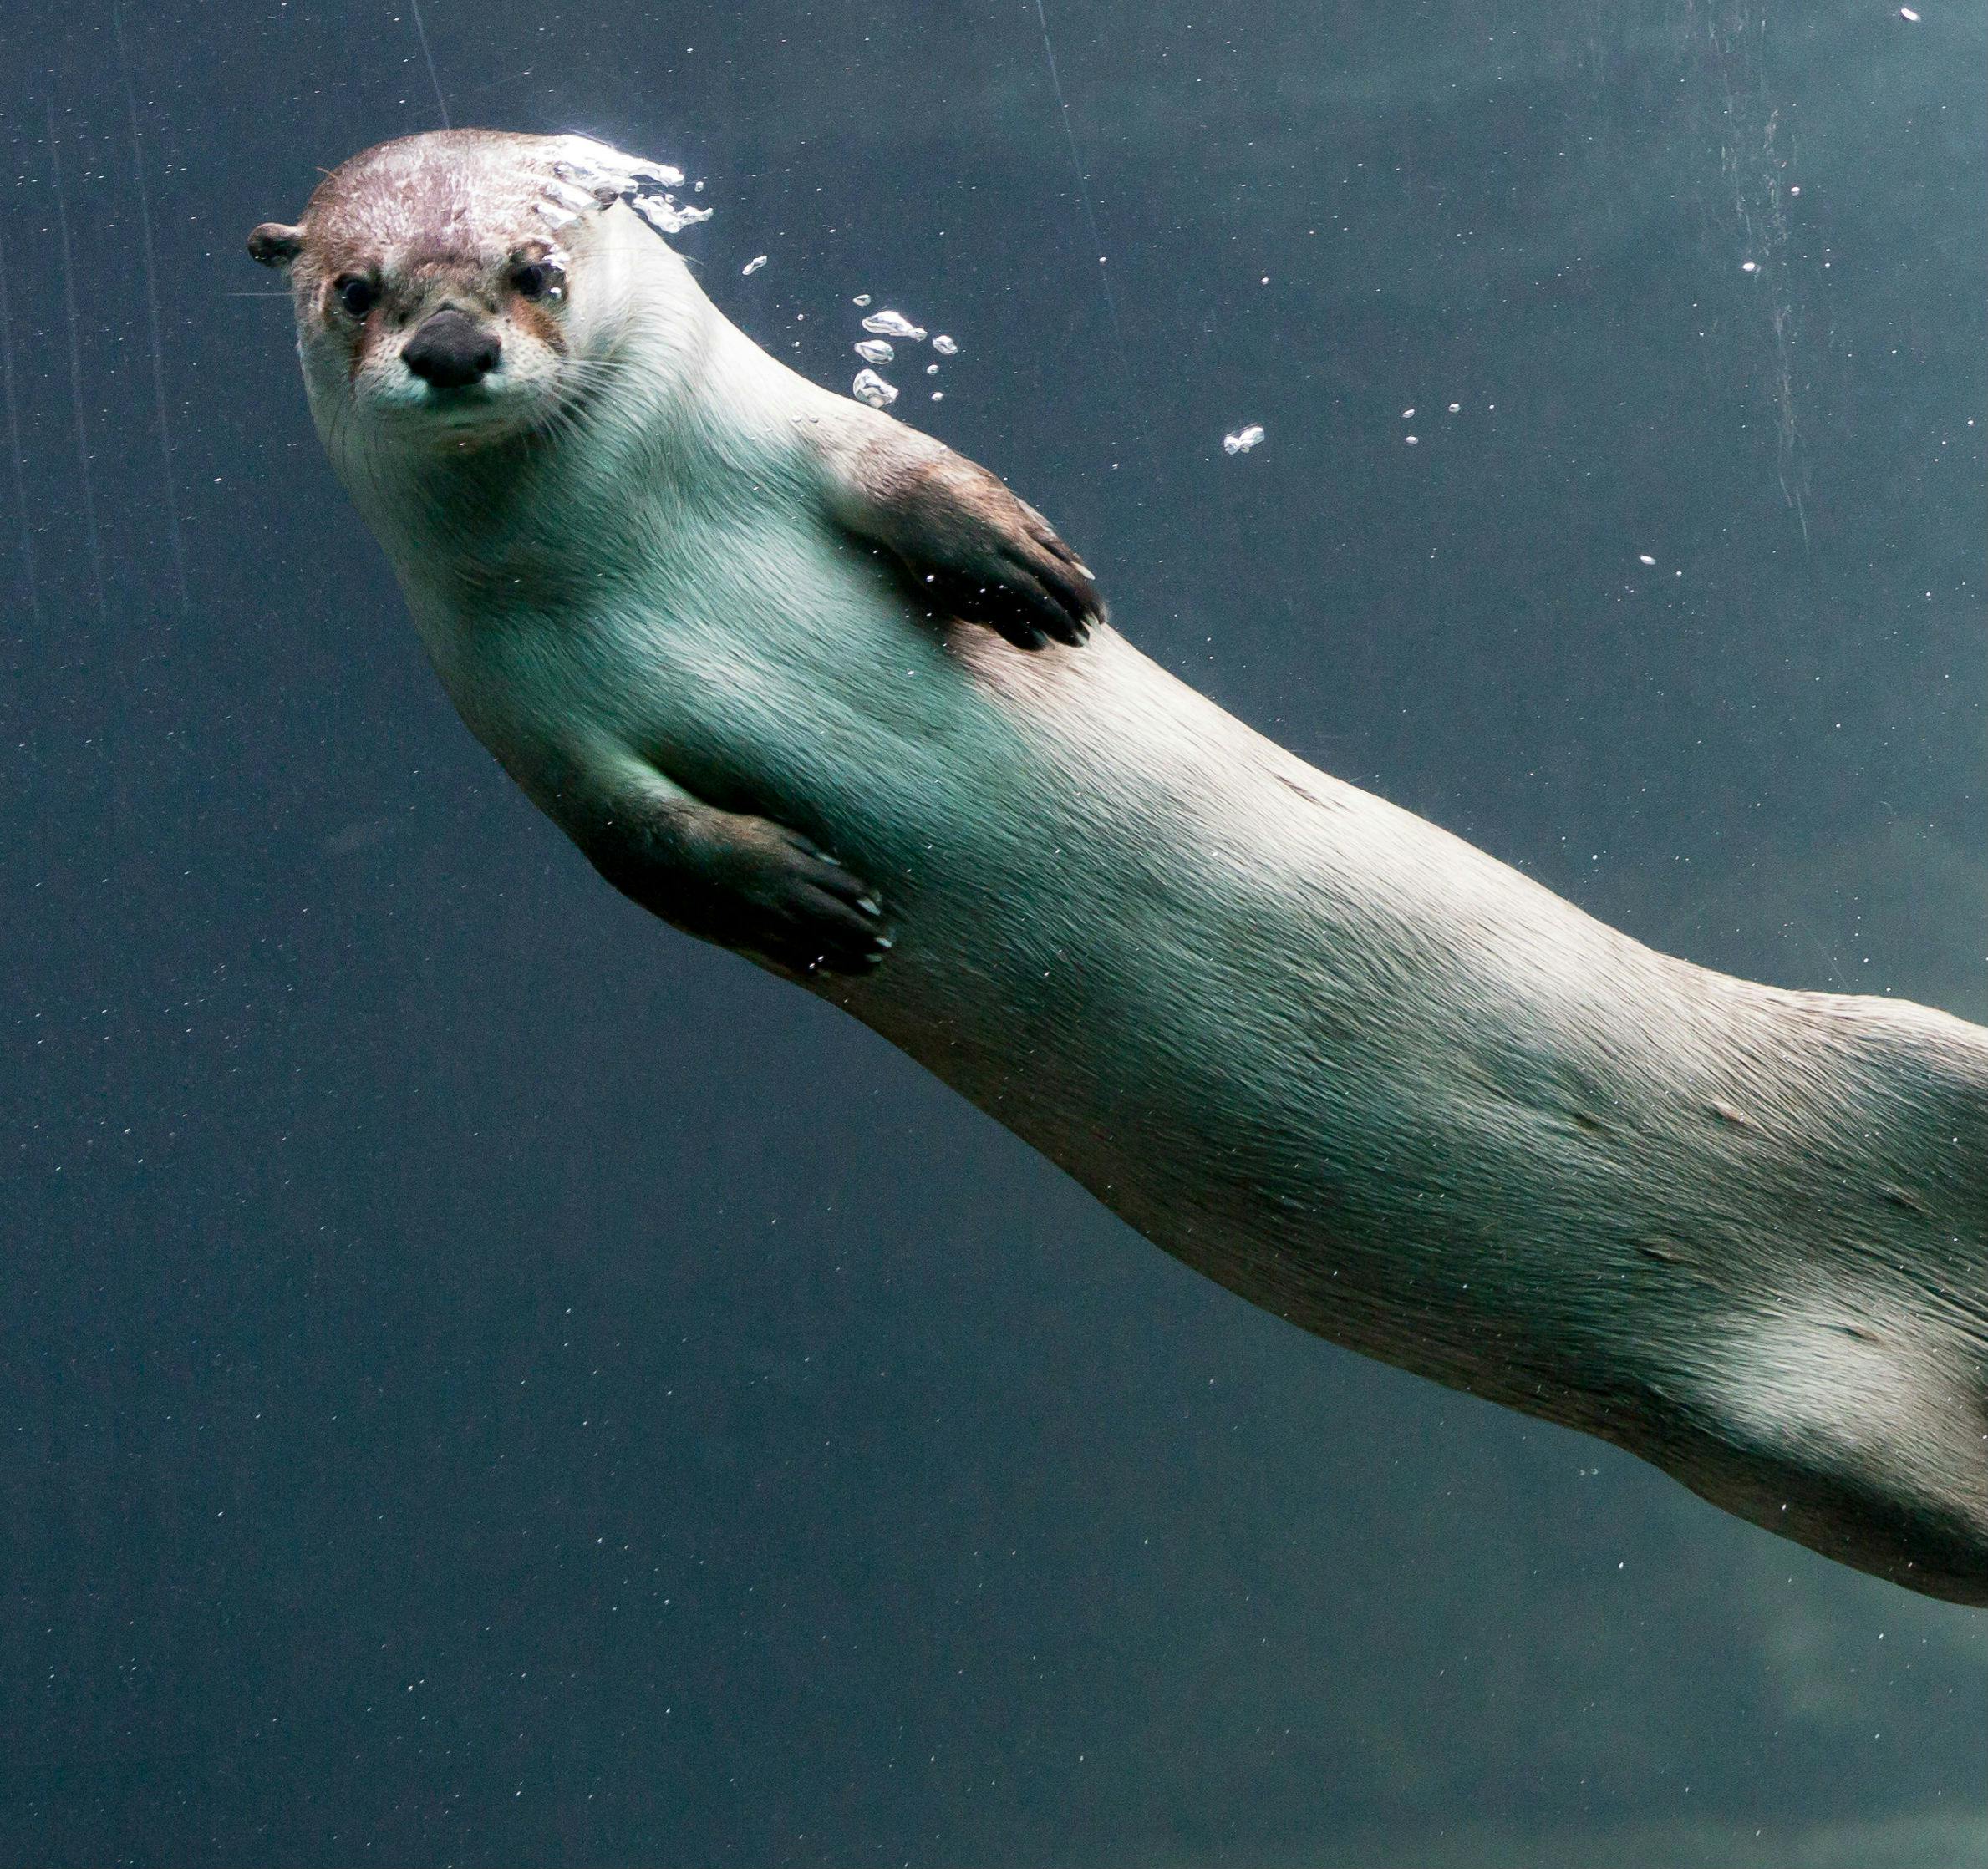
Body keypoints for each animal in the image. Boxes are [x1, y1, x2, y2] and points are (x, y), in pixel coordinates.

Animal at [249, 130, 1988, 1604]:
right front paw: (804, 901)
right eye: (356, 287)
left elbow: (910, 467)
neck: (617, 541)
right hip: (1826, 1464)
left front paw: (1028, 576)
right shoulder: (513, 712)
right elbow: (640, 842)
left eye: (537, 263)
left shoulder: (784, 427)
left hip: (1916, 1068)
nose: (452, 347)